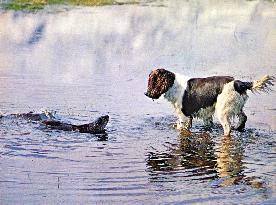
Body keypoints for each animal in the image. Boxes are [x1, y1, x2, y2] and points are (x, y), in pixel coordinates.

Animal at [144, 68, 274, 135]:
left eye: (152, 80)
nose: (146, 93)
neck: (173, 84)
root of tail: (238, 83)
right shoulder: (203, 116)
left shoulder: (183, 116)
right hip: (236, 106)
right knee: (243, 118)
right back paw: (239, 129)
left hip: (222, 110)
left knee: (228, 128)